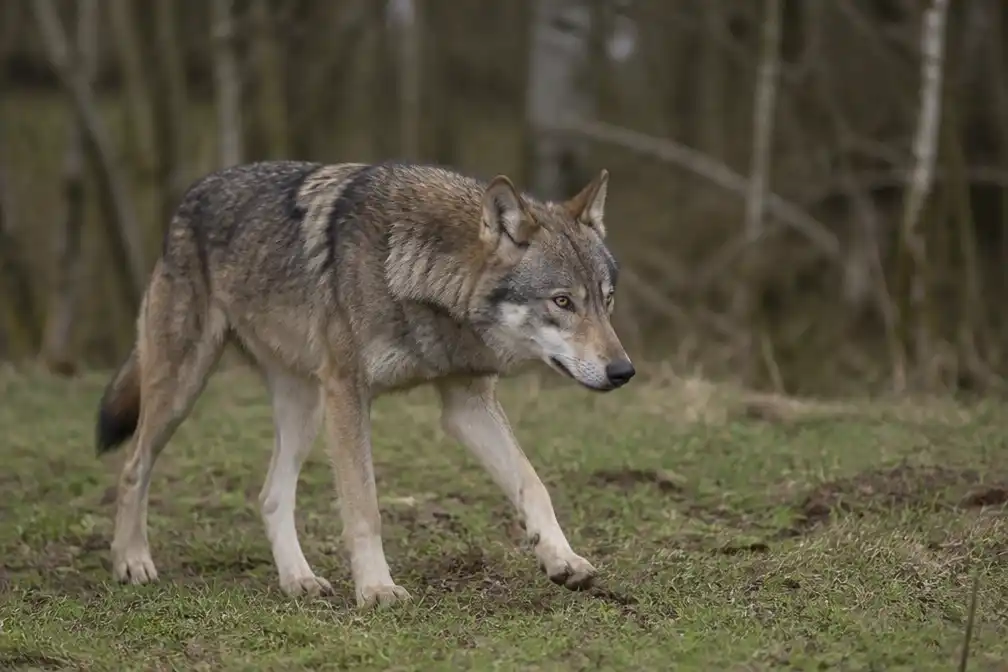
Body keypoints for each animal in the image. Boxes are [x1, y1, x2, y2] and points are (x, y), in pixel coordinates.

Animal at [95, 160, 635, 608]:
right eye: (562, 301)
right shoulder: (348, 393)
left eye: (607, 300)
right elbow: (365, 506)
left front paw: (563, 559)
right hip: (184, 389)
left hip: (304, 406)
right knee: (133, 467)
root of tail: (193, 193)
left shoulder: (466, 402)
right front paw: (376, 589)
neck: (415, 272)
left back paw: (298, 580)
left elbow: (532, 483)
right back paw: (132, 561)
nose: (623, 371)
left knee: (270, 494)